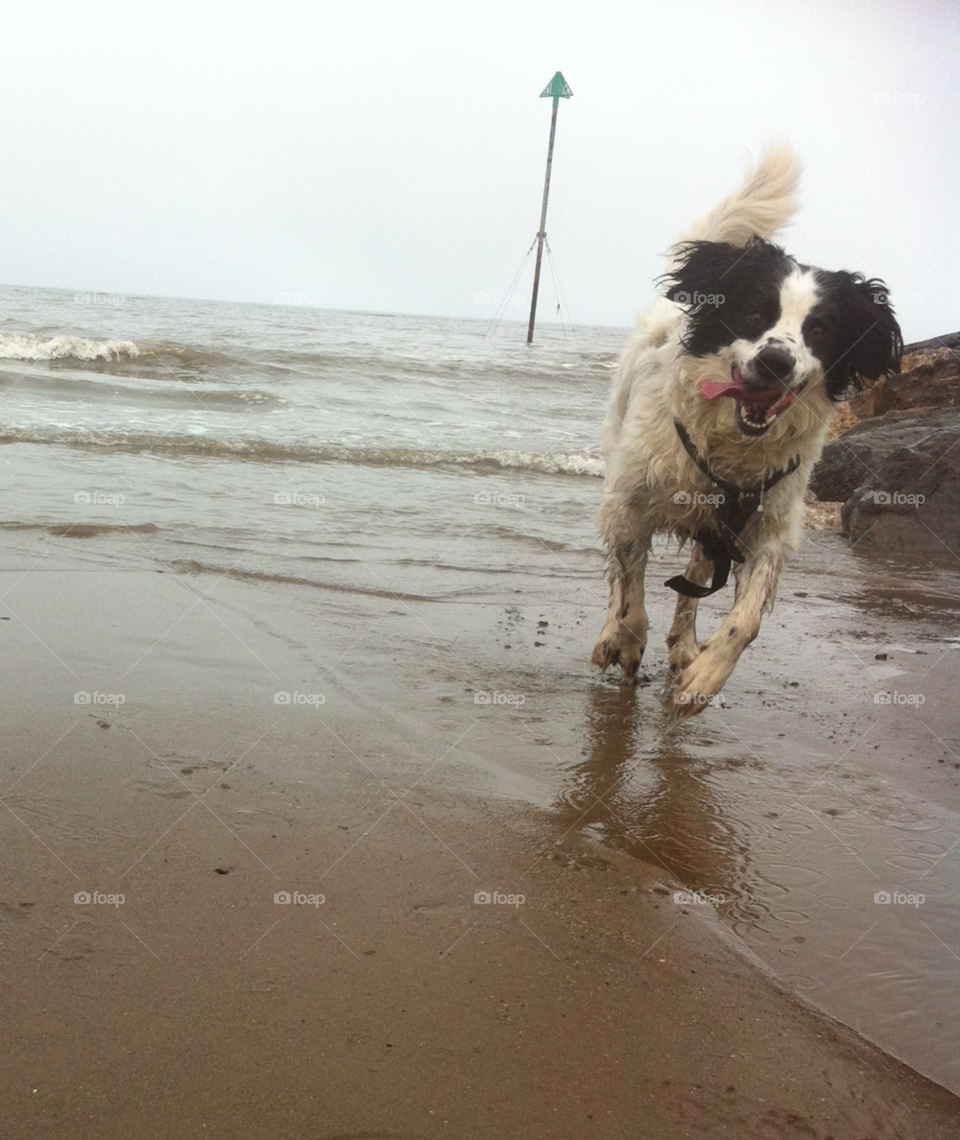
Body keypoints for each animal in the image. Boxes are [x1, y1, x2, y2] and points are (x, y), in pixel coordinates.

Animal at [592, 142, 898, 711]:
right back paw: (613, 636)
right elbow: (630, 591)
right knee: (624, 582)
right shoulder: (630, 501)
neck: (729, 443)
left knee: (694, 580)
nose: (776, 362)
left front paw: (705, 676)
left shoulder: (771, 523)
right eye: (756, 313)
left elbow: (747, 620)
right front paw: (626, 638)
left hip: (716, 529)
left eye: (821, 330)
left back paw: (684, 645)